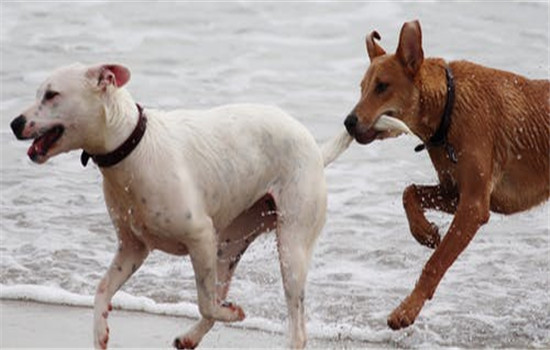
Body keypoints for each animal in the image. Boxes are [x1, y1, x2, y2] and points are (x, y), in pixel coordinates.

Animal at [8, 63, 410, 350]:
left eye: (52, 94)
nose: (13, 123)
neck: (133, 146)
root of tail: (314, 148)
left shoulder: (199, 237)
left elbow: (204, 300)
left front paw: (234, 313)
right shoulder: (133, 249)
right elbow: (101, 290)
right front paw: (100, 332)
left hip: (290, 247)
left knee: (294, 327)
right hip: (229, 244)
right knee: (219, 292)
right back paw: (190, 337)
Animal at [348, 21, 548, 330]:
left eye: (382, 86)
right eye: (362, 88)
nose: (348, 122)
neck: (448, 109)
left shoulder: (474, 206)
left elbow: (435, 263)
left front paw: (407, 310)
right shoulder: (454, 192)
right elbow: (409, 192)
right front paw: (425, 231)